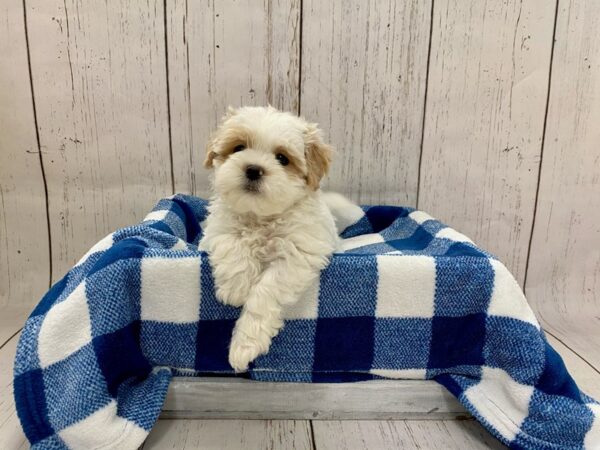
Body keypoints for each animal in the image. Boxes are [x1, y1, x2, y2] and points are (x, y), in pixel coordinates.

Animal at [199, 106, 346, 372]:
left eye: (282, 158)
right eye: (238, 147)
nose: (253, 169)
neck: (260, 217)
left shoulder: (298, 254)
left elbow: (266, 291)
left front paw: (245, 345)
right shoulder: (216, 230)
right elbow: (231, 244)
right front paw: (237, 288)